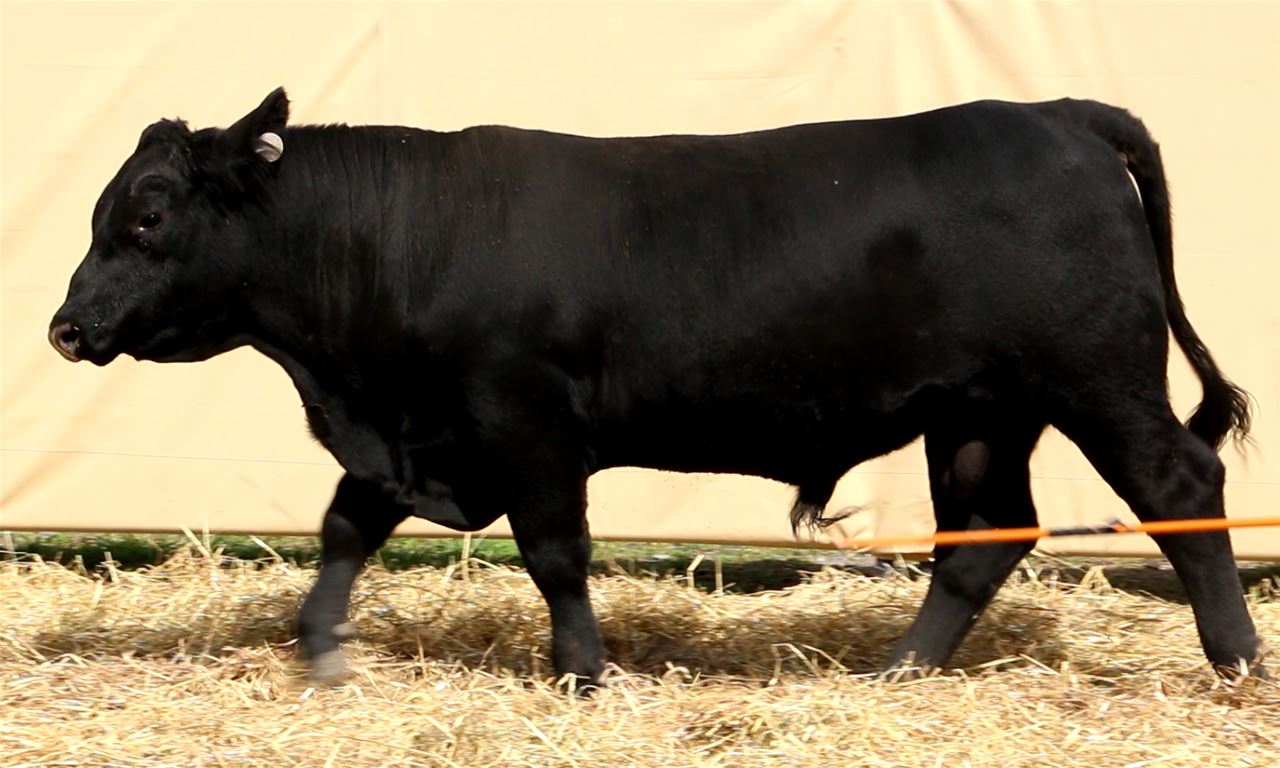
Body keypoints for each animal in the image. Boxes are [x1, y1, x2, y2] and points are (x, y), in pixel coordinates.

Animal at [50, 87, 1267, 688]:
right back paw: (897, 672)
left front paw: (583, 673)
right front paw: (321, 648)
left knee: (1178, 486)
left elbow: (553, 554)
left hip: (1096, 379)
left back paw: (1237, 659)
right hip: (977, 414)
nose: (65, 328)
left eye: (145, 217)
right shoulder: (420, 433)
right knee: (982, 536)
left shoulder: (523, 421)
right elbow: (346, 525)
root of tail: (1055, 115)